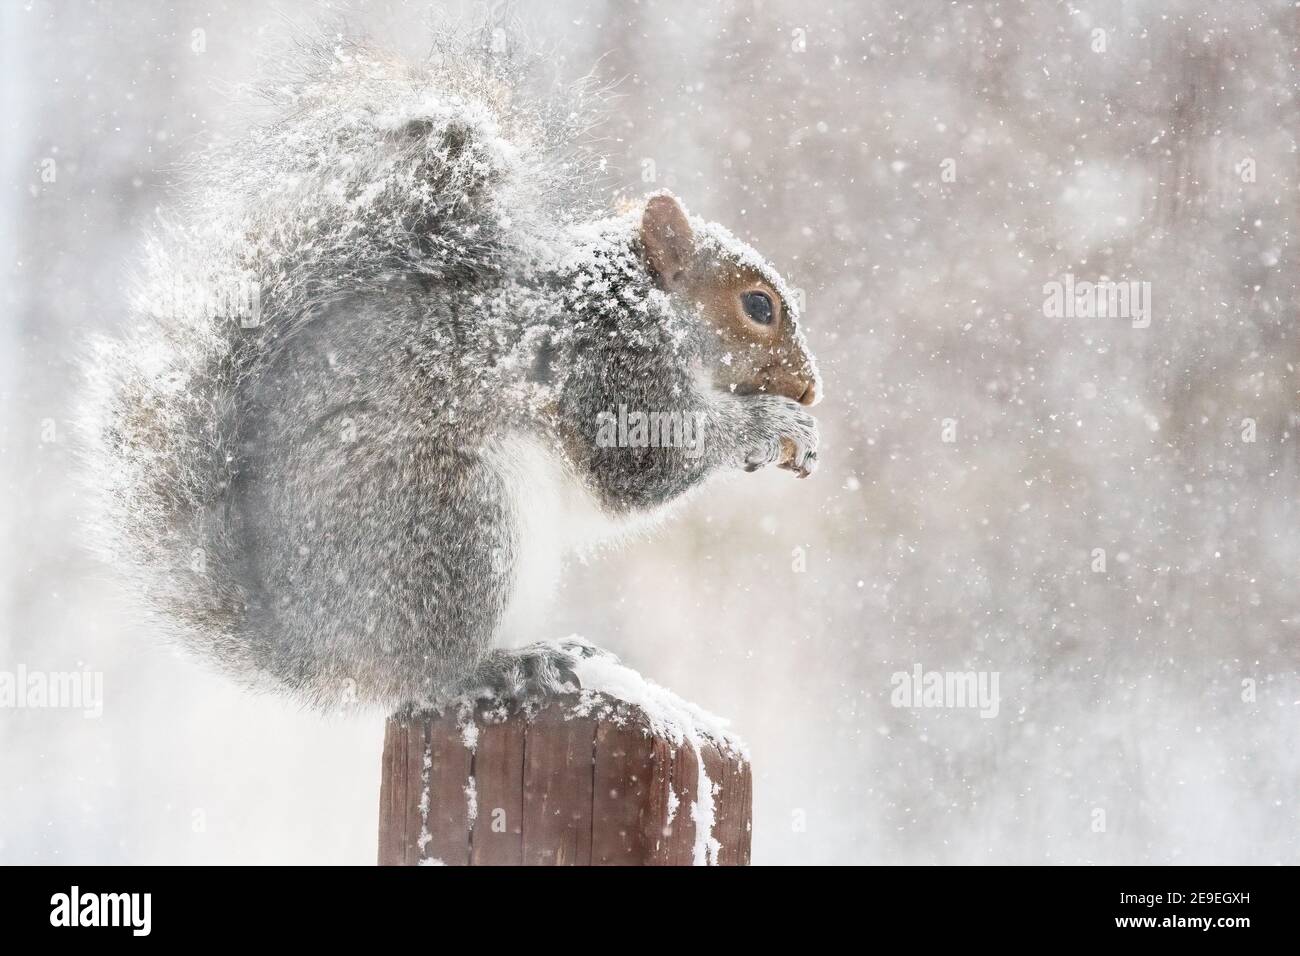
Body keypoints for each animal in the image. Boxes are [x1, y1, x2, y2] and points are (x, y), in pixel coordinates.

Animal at [81, 37, 816, 712]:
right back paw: (506, 666)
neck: (638, 301)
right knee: (431, 673)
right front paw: (773, 426)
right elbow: (643, 463)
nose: (811, 388)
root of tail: (324, 658)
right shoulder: (612, 368)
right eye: (758, 306)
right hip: (457, 527)